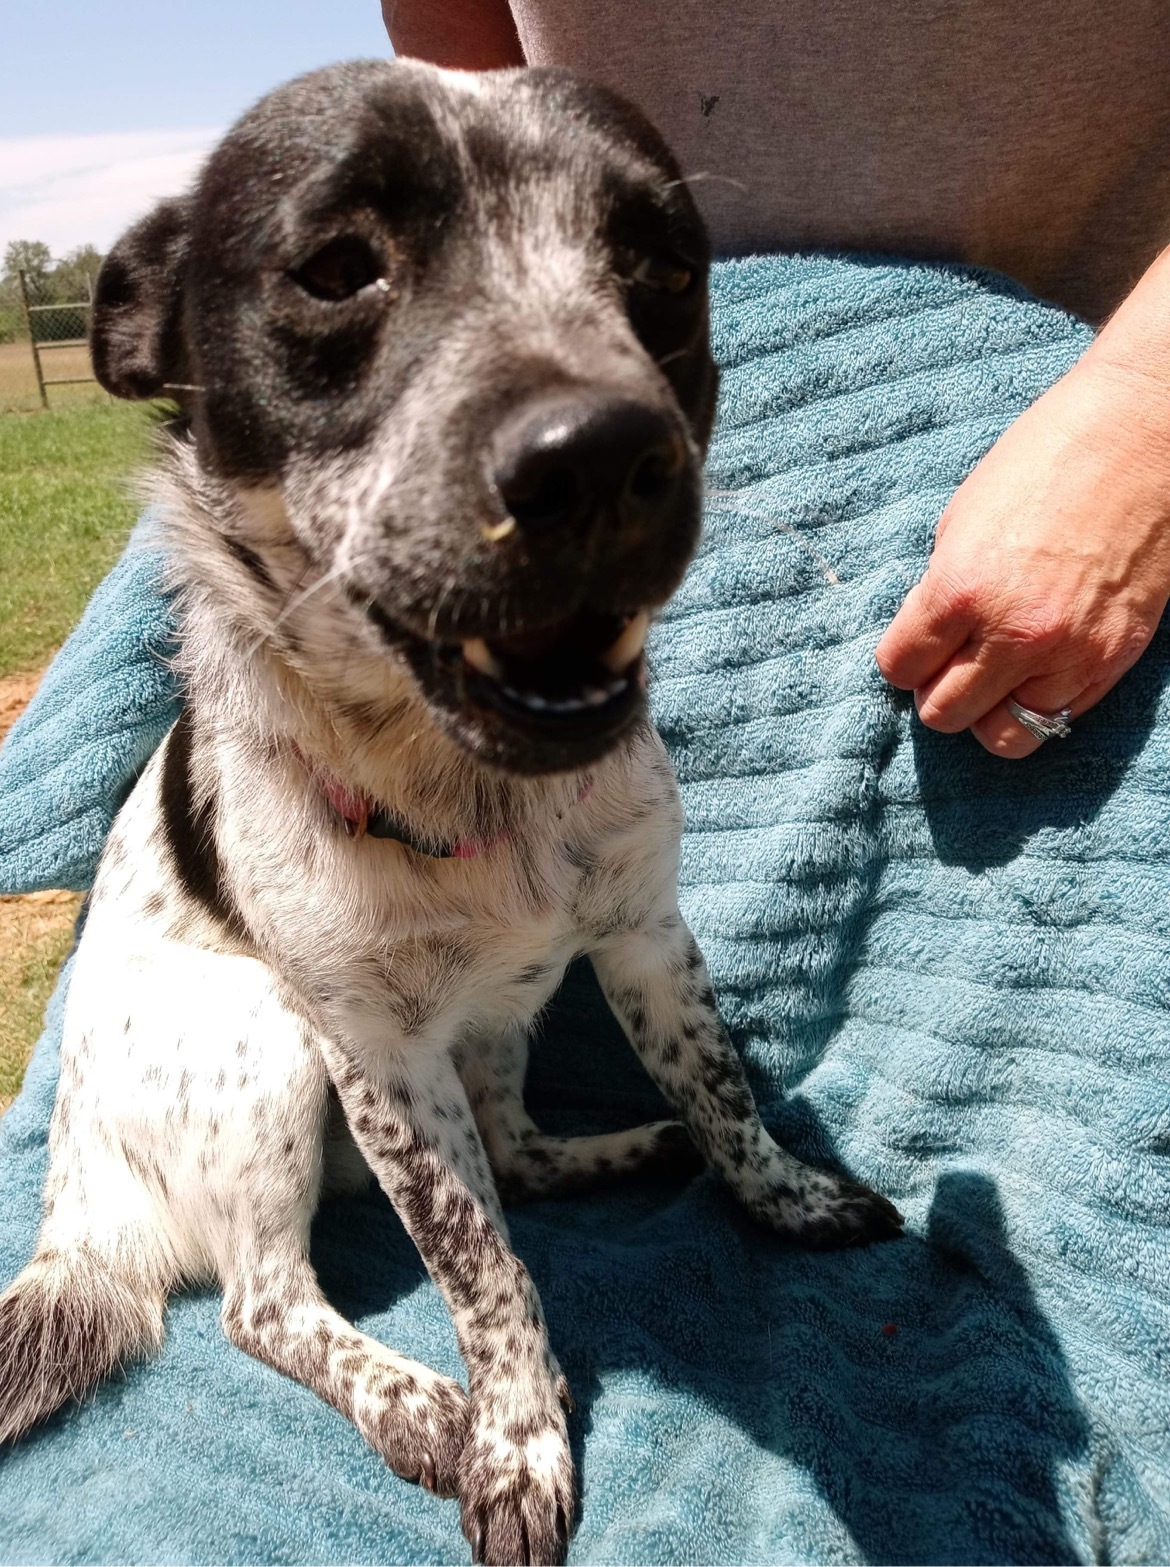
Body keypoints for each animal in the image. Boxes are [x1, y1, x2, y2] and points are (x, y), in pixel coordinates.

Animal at [0, 61, 908, 1567]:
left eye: (663, 268)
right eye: (335, 267)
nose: (601, 459)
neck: (465, 782)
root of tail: (75, 1209)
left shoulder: (644, 934)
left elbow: (716, 1093)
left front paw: (780, 1194)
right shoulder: (377, 1058)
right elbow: (482, 1271)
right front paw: (514, 1436)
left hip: (495, 1028)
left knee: (525, 1159)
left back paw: (623, 1148)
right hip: (264, 1037)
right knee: (262, 1300)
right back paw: (416, 1399)